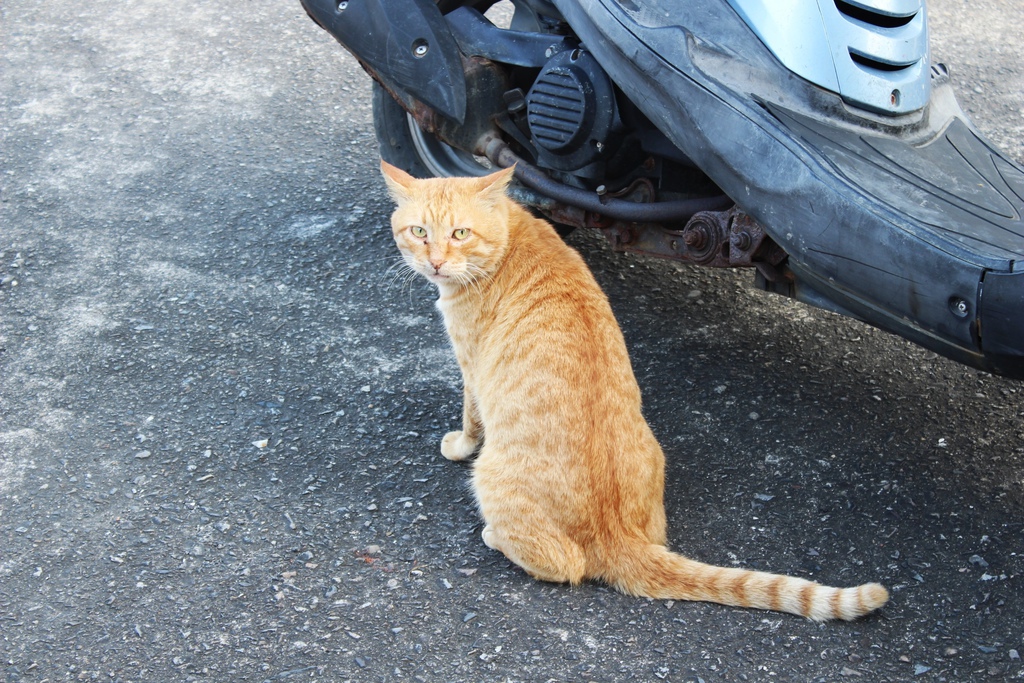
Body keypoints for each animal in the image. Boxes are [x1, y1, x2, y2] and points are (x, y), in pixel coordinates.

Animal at [385, 160, 888, 618]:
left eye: (459, 233)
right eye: (419, 231)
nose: (434, 263)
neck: (511, 237)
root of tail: (619, 536)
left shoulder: (470, 368)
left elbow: (471, 419)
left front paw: (458, 445)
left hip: (491, 478)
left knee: (565, 565)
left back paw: (494, 535)